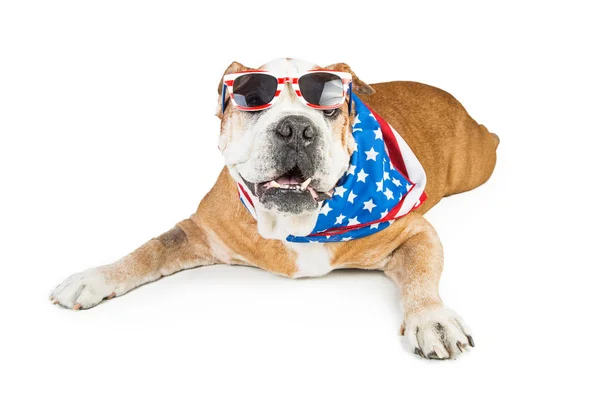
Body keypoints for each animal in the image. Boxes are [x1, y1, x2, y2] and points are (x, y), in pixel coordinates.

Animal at [50, 58, 496, 360]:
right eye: (252, 101)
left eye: (330, 106)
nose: (296, 128)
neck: (292, 222)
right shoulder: (200, 230)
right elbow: (152, 249)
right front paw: (97, 277)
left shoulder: (414, 231)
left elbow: (421, 272)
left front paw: (432, 318)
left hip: (478, 164)